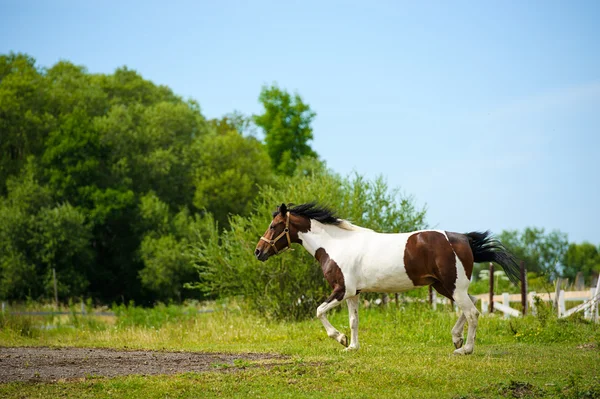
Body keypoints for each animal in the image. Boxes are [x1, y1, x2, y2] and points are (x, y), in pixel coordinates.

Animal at [253, 203, 520, 356]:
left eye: (274, 225)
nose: (258, 252)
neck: (334, 245)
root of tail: (463, 239)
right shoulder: (353, 294)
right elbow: (354, 321)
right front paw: (352, 346)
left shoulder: (341, 290)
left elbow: (319, 311)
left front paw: (340, 339)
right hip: (445, 287)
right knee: (471, 305)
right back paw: (457, 339)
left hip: (453, 287)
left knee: (473, 312)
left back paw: (465, 349)